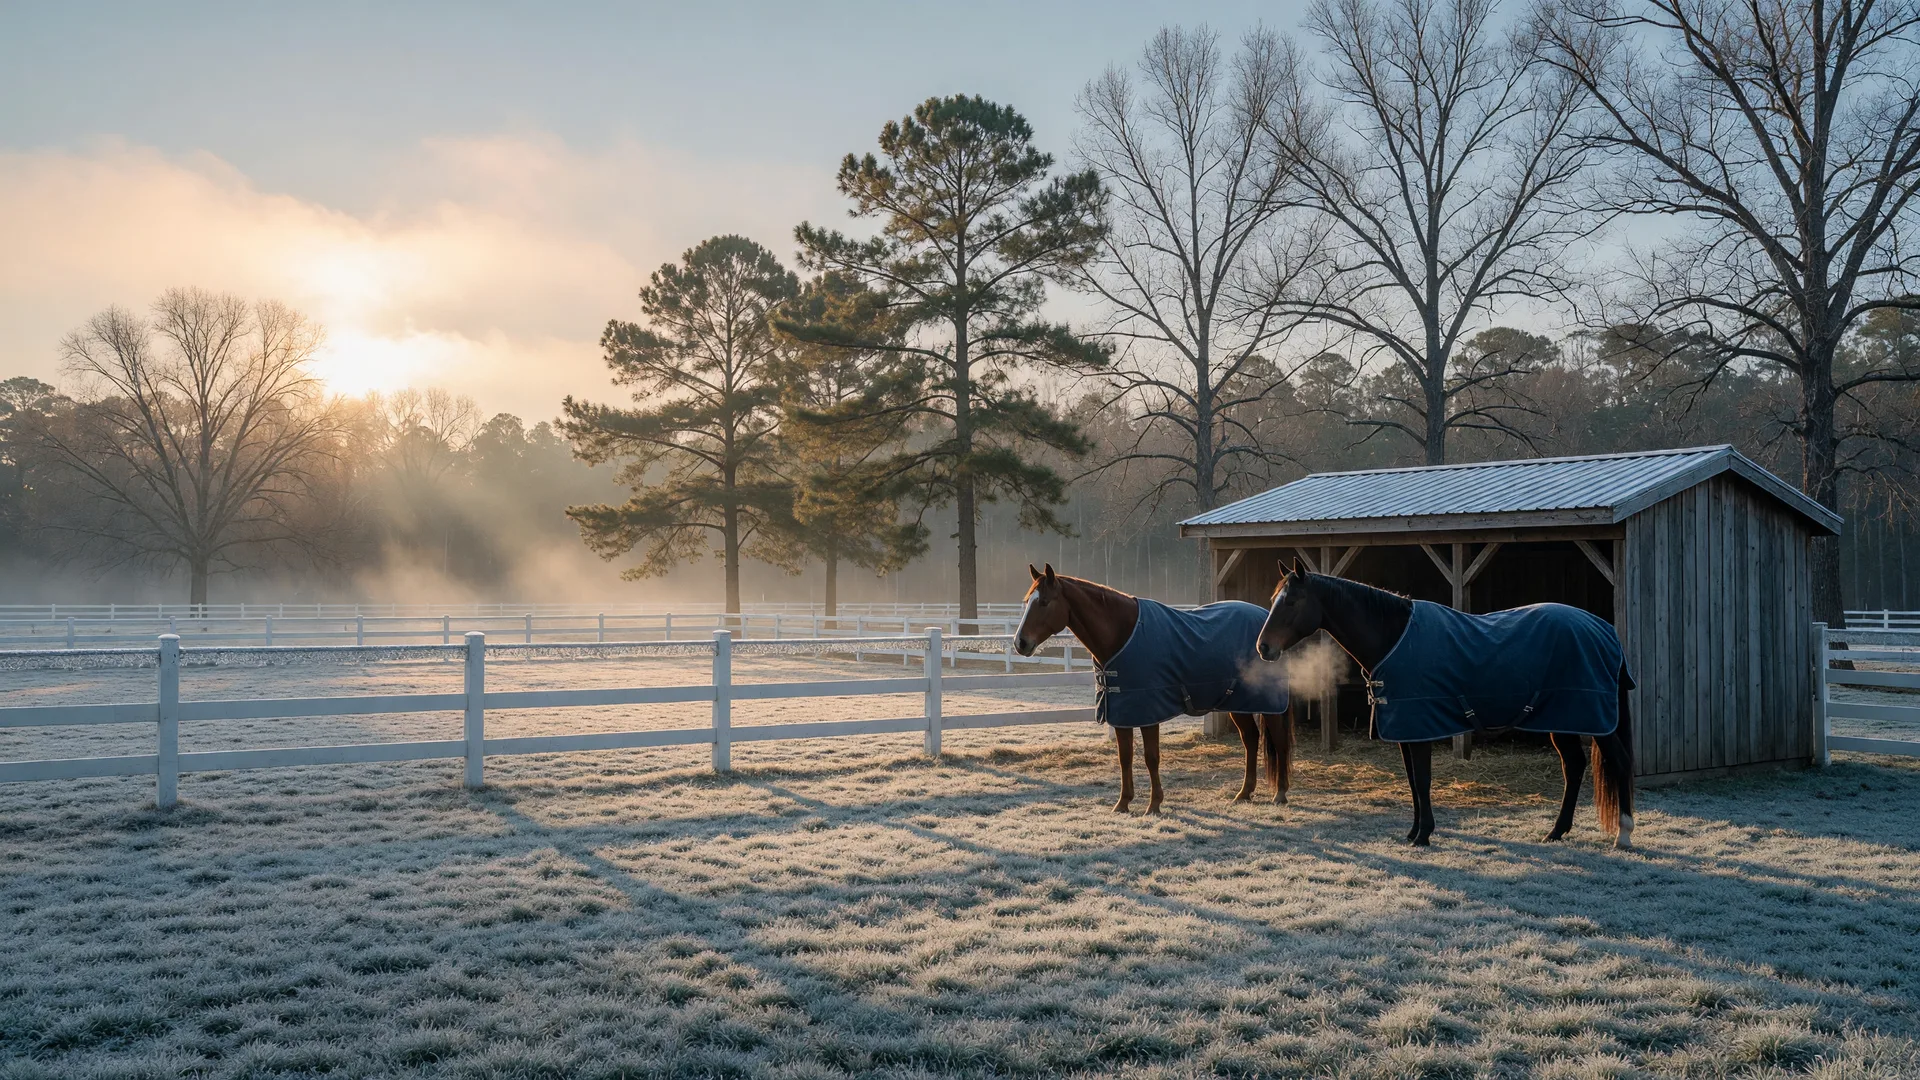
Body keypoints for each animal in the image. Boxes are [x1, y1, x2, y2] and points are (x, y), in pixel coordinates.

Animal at [1013, 564, 1292, 813]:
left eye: (1044, 602)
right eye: (1026, 601)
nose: (1020, 643)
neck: (1123, 635)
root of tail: (1265, 622)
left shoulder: (1149, 712)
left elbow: (1151, 757)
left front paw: (1154, 804)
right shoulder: (1122, 713)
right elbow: (1125, 757)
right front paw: (1123, 803)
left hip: (1269, 705)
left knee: (1279, 742)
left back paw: (1280, 793)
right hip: (1237, 703)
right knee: (1250, 739)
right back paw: (1244, 793)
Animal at [1256, 561, 1635, 848]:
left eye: (1291, 602)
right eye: (1274, 598)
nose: (1263, 648)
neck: (1395, 638)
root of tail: (1603, 629)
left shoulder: (1419, 728)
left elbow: (1422, 780)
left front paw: (1423, 835)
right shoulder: (1406, 731)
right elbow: (1412, 781)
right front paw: (1413, 832)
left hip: (1595, 720)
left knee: (1618, 761)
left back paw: (1624, 834)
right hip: (1564, 719)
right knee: (1574, 766)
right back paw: (1556, 832)